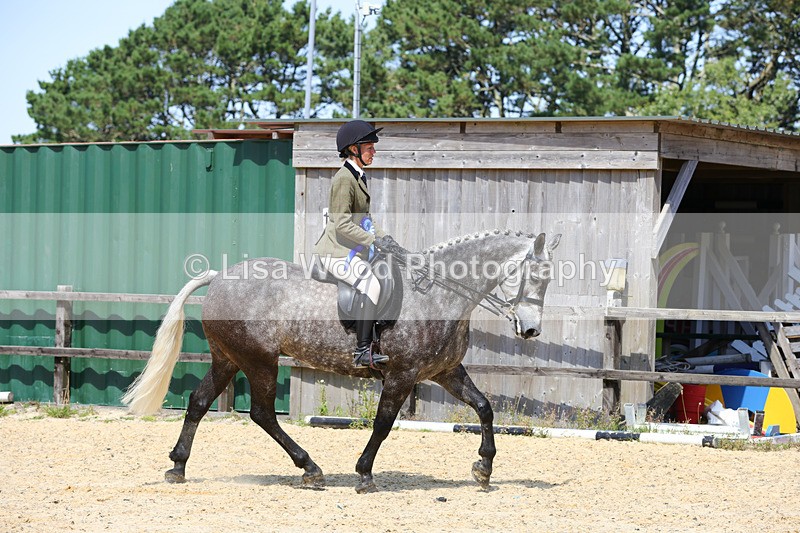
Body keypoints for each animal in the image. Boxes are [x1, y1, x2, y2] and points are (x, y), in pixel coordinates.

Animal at [122, 229, 561, 493]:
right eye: (535, 277)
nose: (530, 330)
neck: (439, 294)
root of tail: (218, 278)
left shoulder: (446, 372)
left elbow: (485, 408)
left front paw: (483, 469)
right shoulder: (402, 375)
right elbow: (383, 424)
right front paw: (364, 473)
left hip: (227, 358)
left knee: (199, 402)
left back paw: (178, 467)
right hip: (259, 360)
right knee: (262, 413)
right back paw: (310, 469)